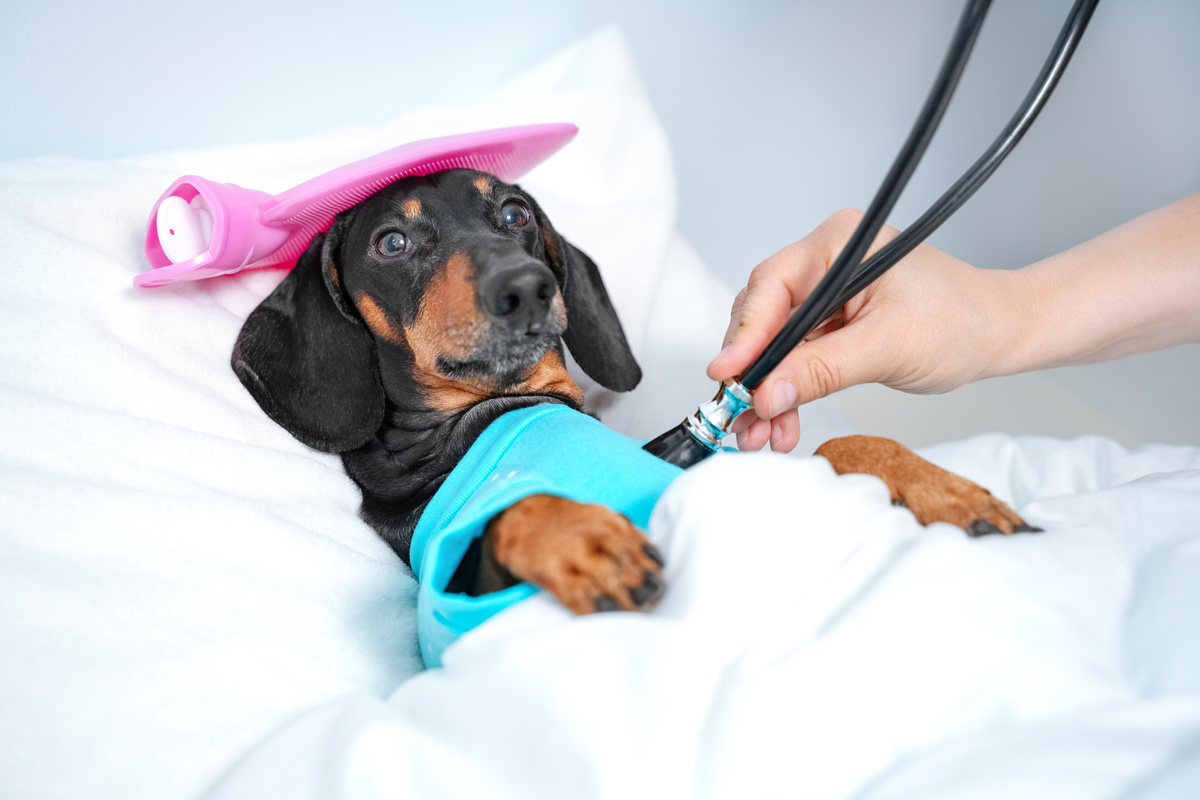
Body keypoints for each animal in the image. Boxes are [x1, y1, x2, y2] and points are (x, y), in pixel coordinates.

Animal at [236, 169, 1041, 618]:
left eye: (514, 213)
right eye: (392, 244)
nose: (529, 287)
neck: (509, 407)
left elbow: (847, 442)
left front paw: (944, 488)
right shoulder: (455, 570)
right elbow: (515, 505)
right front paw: (584, 539)